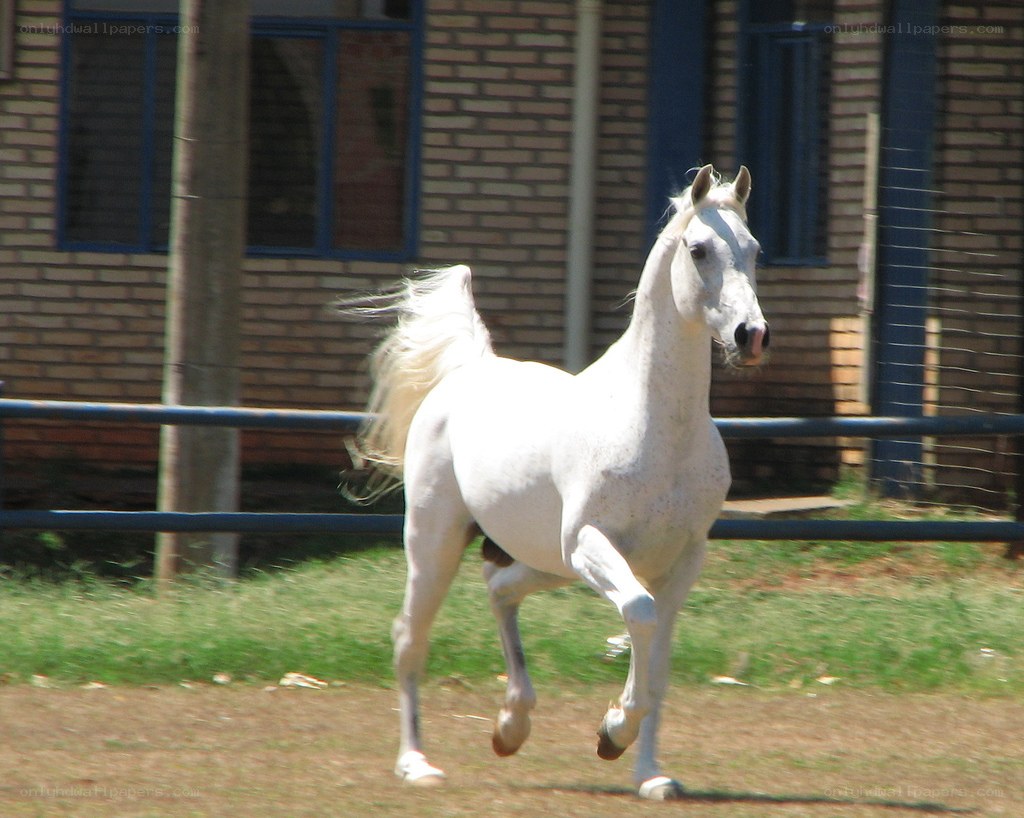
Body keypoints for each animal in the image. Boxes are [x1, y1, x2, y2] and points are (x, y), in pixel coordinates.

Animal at [344, 164, 768, 800]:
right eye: (698, 249)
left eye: (756, 249)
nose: (751, 335)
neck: (655, 427)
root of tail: (471, 369)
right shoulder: (593, 545)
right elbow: (639, 615)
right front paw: (613, 732)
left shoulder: (682, 561)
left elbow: (658, 667)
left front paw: (650, 775)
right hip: (438, 544)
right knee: (409, 640)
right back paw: (417, 763)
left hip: (545, 561)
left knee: (500, 590)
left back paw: (510, 726)